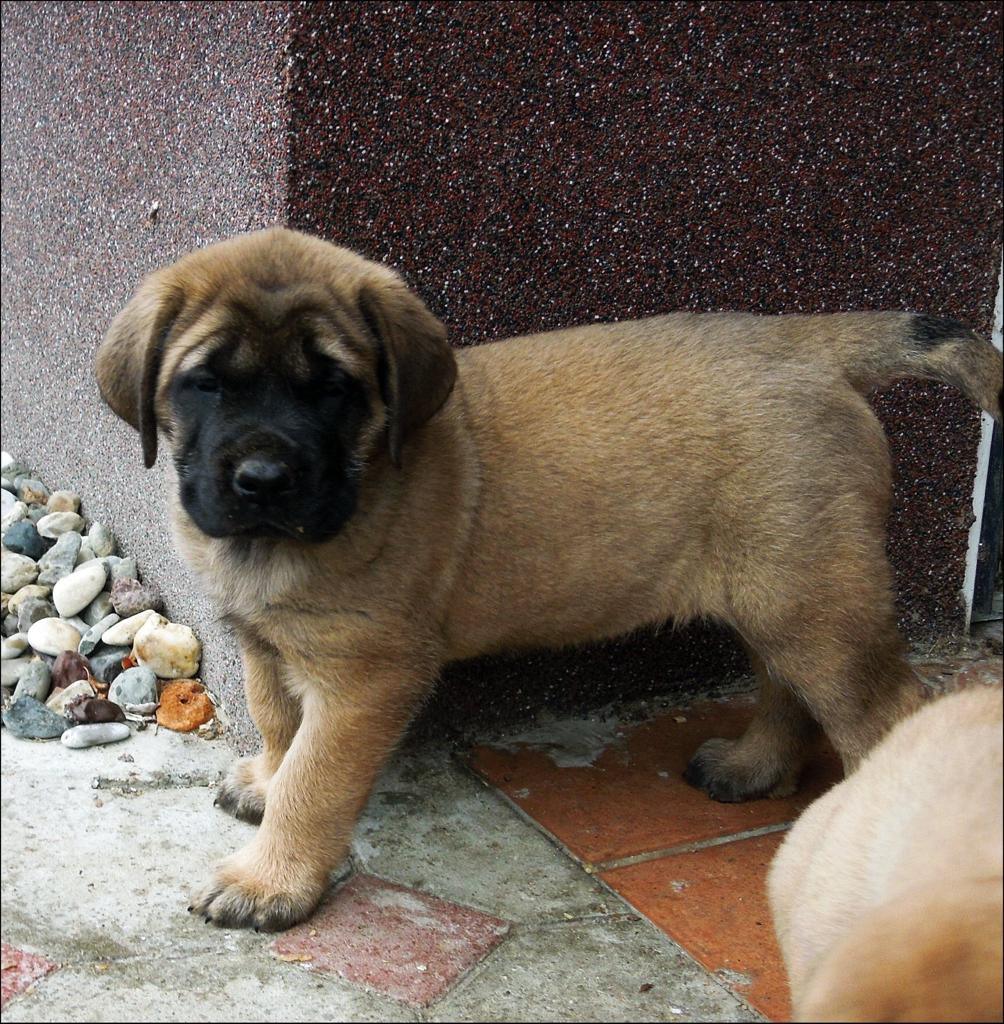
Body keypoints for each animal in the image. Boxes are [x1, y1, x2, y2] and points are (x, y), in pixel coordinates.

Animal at [96, 230, 1003, 929]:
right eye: (205, 383)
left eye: (334, 391)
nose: (262, 480)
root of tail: (808, 347)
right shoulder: (267, 642)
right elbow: (280, 724)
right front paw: (266, 781)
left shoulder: (365, 677)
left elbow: (316, 781)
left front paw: (270, 879)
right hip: (778, 589)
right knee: (788, 685)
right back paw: (752, 768)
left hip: (817, 599)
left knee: (886, 711)